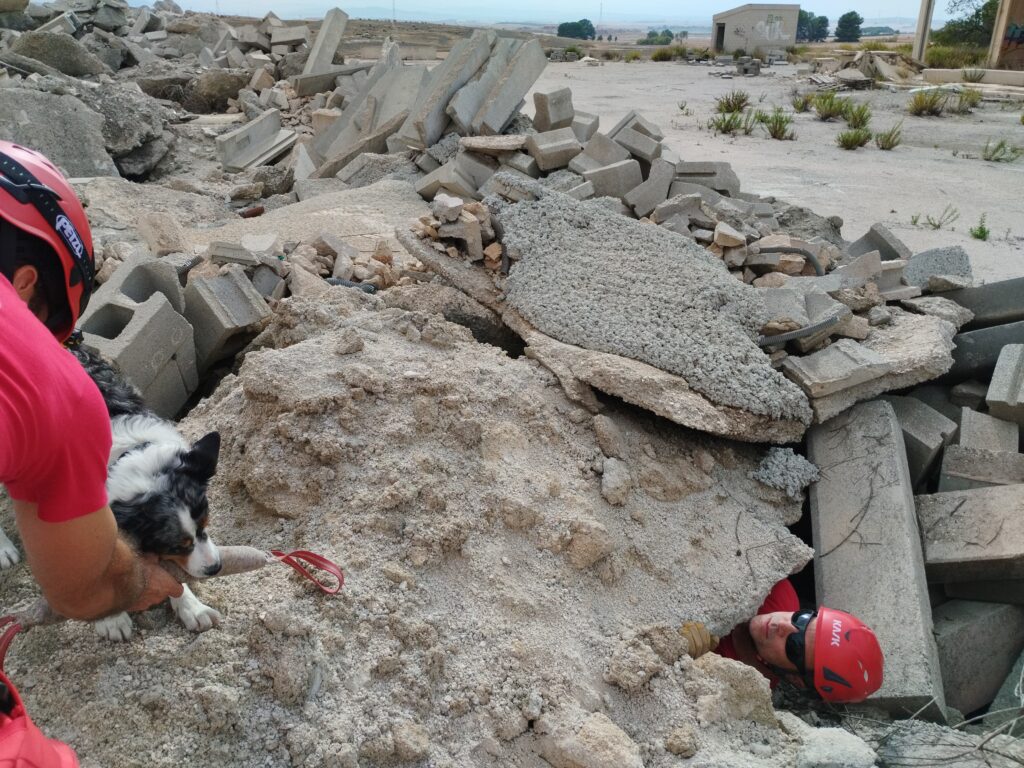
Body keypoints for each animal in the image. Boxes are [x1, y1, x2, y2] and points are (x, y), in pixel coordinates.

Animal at [72, 350, 224, 643]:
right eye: (176, 546)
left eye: (205, 525)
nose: (215, 569)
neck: (125, 455)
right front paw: (109, 617)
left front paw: (192, 608)